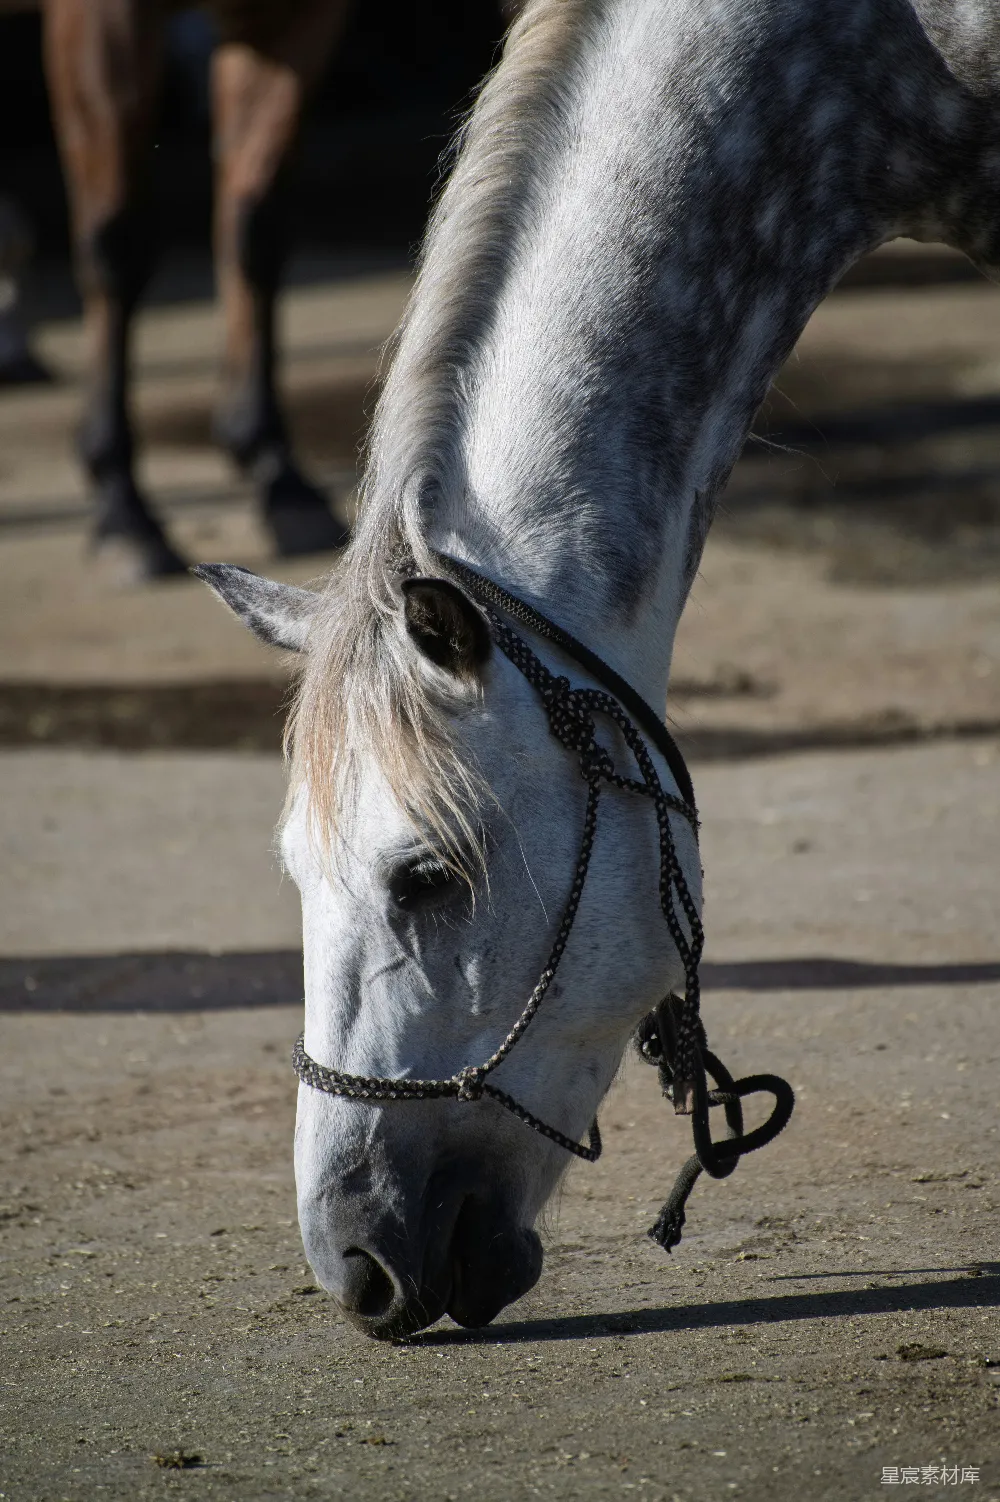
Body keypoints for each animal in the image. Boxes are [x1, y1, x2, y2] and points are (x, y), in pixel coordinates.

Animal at [41, 0, 352, 579]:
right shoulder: (102, 19)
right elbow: (117, 249)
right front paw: (125, 508)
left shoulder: (295, 20)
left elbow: (256, 231)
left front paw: (279, 475)